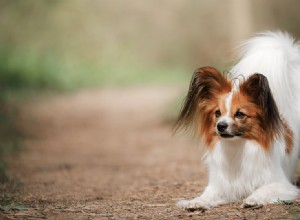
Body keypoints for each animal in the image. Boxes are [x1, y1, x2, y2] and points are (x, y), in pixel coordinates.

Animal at [176, 31, 300, 210]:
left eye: (240, 114)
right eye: (217, 113)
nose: (220, 126)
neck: (237, 147)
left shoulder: (280, 184)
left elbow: (263, 190)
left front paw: (253, 199)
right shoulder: (220, 186)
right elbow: (206, 195)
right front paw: (195, 202)